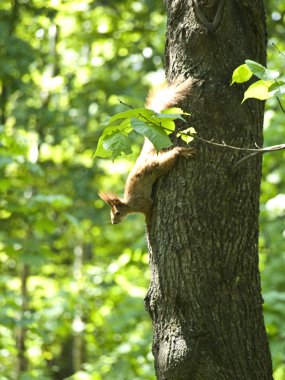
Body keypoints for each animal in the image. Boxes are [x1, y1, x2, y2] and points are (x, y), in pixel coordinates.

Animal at [98, 78, 194, 224]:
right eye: (111, 214)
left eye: (117, 213)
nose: (113, 222)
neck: (130, 205)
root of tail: (144, 156)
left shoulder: (143, 203)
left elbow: (149, 209)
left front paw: (148, 225)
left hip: (159, 165)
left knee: (173, 154)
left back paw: (182, 151)